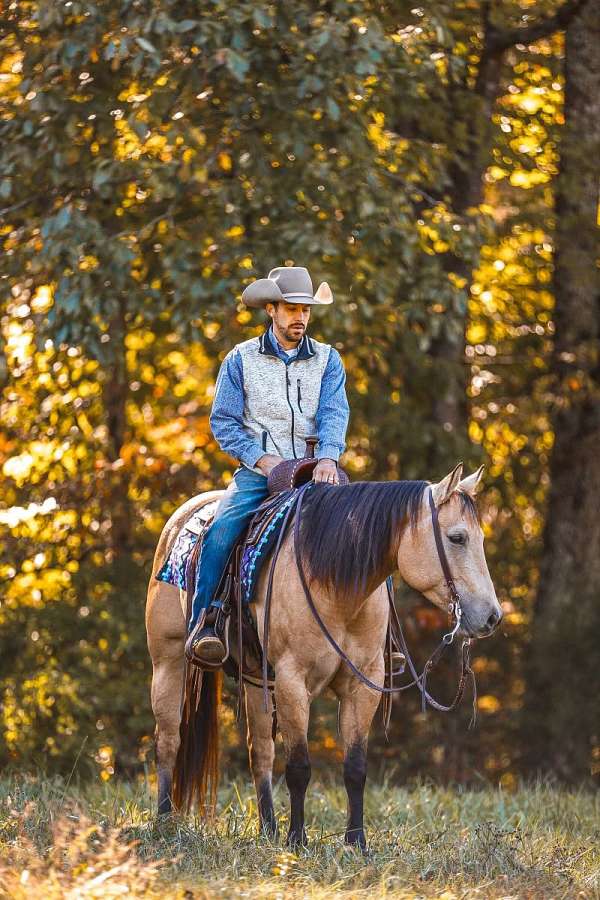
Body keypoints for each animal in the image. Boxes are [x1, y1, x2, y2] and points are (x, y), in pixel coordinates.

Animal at [145, 464, 502, 852]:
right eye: (456, 538)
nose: (492, 617)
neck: (335, 585)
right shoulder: (292, 680)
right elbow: (299, 767)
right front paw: (297, 840)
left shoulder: (363, 684)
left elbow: (355, 767)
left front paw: (356, 842)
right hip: (168, 661)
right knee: (168, 740)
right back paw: (164, 823)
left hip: (256, 678)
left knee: (261, 752)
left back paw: (268, 829)